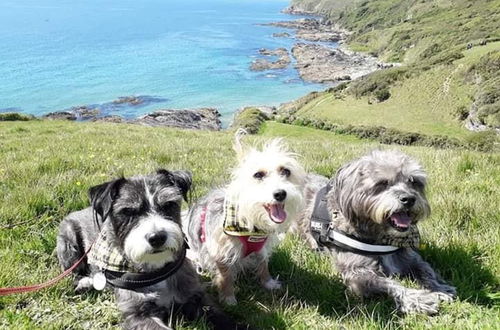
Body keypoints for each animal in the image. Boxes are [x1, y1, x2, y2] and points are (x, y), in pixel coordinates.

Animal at [57, 170, 245, 330]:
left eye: (168, 204)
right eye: (128, 211)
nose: (157, 237)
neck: (156, 270)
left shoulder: (198, 297)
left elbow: (223, 318)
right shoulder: (138, 314)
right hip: (68, 243)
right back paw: (84, 282)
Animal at [296, 150, 458, 314]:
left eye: (414, 181)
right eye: (383, 183)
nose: (409, 199)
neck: (381, 237)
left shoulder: (411, 259)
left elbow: (426, 270)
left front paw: (439, 288)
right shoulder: (357, 273)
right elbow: (389, 283)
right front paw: (418, 299)